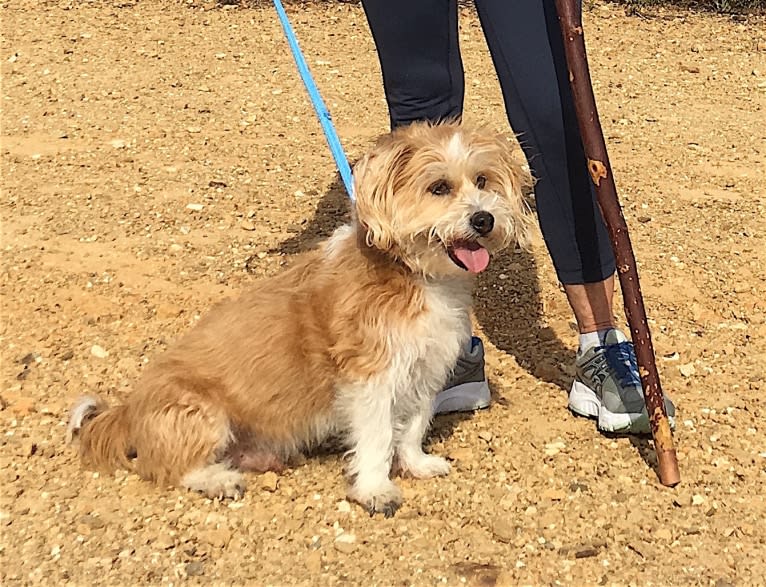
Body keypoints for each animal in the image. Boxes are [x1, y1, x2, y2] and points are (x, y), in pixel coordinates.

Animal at [67, 121, 536, 516]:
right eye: (439, 187)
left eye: (482, 180)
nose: (483, 218)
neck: (412, 272)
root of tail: (127, 412)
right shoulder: (370, 377)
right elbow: (379, 435)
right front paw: (375, 489)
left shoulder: (426, 367)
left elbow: (413, 425)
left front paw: (416, 464)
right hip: (201, 413)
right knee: (171, 468)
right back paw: (220, 480)